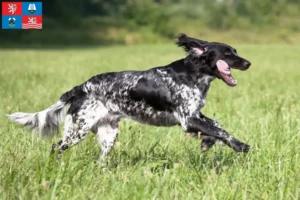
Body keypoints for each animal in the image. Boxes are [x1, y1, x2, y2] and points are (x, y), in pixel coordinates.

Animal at [6, 33, 251, 161]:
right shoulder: (187, 119)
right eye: (227, 53)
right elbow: (221, 131)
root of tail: (80, 88)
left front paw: (208, 142)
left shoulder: (195, 115)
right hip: (79, 129)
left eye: (235, 51)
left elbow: (216, 126)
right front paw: (240, 145)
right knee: (56, 147)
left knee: (100, 160)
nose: (248, 63)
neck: (192, 74)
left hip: (108, 133)